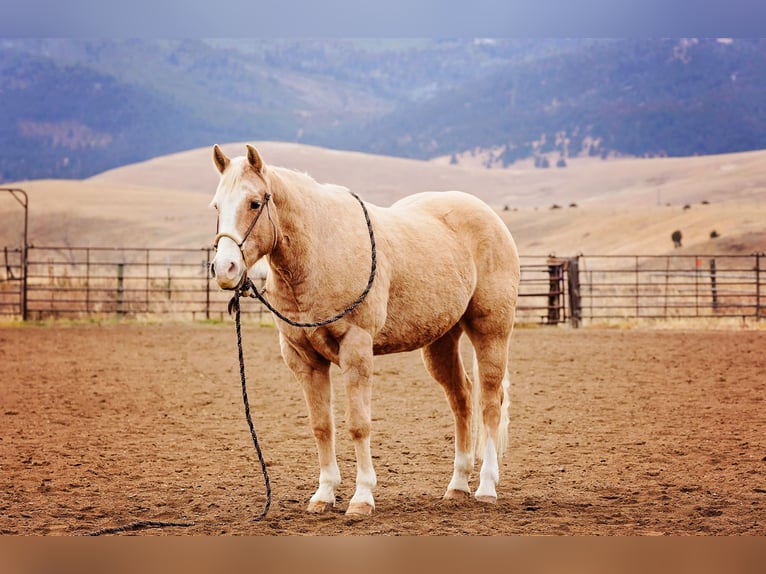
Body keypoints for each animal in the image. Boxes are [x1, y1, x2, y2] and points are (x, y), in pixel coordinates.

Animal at [209, 144, 520, 516]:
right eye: (216, 205)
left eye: (255, 203)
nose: (225, 269)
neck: (319, 252)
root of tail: (491, 218)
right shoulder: (303, 358)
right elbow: (321, 426)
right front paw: (324, 494)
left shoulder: (356, 349)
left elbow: (358, 425)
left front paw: (361, 498)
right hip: (441, 341)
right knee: (462, 399)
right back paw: (457, 486)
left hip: (491, 332)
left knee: (489, 402)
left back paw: (487, 487)